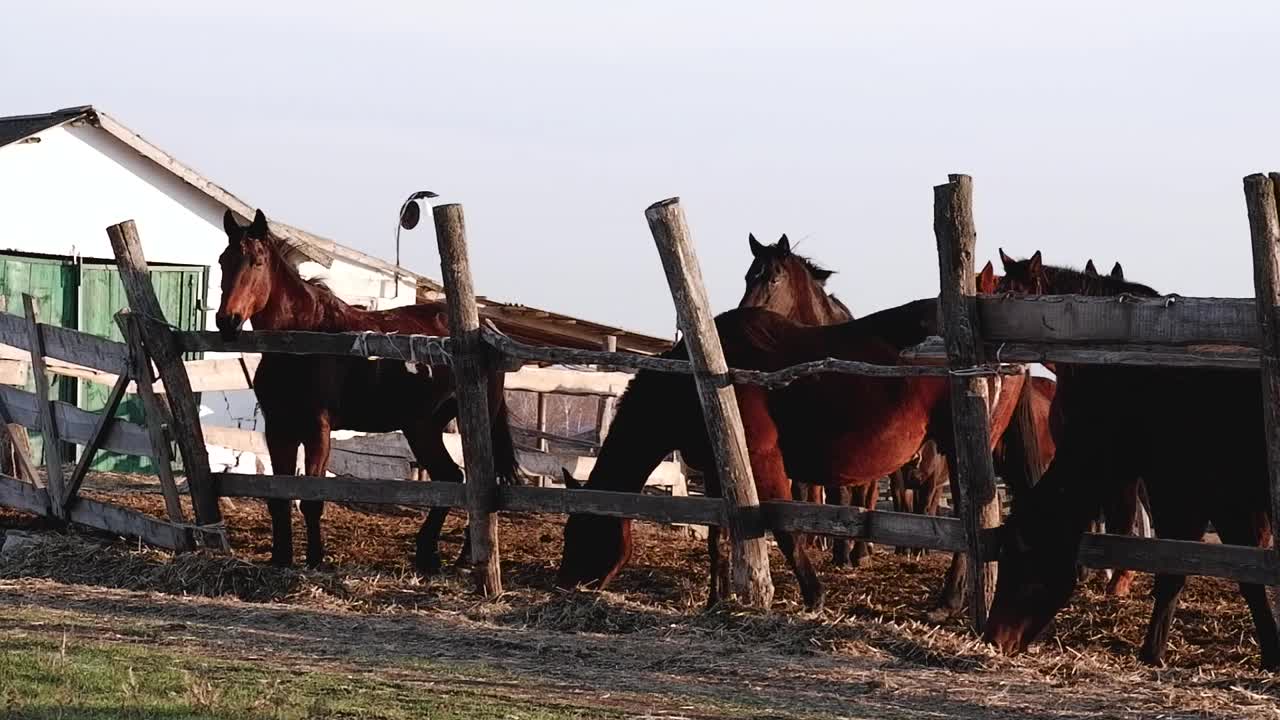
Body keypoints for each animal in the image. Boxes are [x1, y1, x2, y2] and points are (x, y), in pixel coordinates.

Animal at [216, 207, 519, 571]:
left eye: (257, 262)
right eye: (223, 260)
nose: (227, 321)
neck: (302, 342)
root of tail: (483, 329)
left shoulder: (318, 430)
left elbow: (311, 499)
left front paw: (315, 560)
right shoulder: (278, 429)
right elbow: (279, 497)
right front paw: (281, 558)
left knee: (472, 479)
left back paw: (462, 556)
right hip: (422, 427)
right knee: (451, 477)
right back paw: (431, 554)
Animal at [558, 298, 1018, 609]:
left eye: (580, 531)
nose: (565, 583)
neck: (698, 383)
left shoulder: (763, 461)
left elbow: (783, 530)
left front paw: (813, 596)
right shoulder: (717, 471)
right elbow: (718, 537)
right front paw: (716, 600)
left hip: (960, 451)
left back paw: (952, 598)